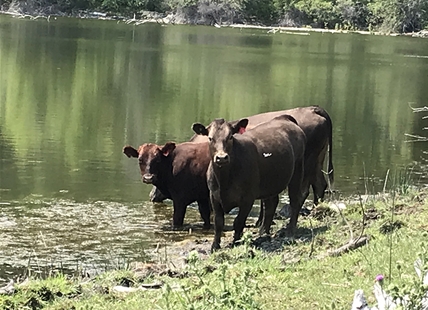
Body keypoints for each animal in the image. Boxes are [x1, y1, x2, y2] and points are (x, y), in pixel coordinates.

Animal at [194, 114, 308, 252]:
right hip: (270, 183)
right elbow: (218, 222)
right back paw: (263, 231)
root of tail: (284, 118)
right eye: (210, 138)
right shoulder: (214, 196)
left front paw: (236, 242)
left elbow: (238, 221)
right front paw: (215, 246)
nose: (221, 158)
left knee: (295, 201)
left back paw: (290, 230)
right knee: (271, 204)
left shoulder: (248, 198)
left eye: (230, 136)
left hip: (297, 171)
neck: (224, 180)